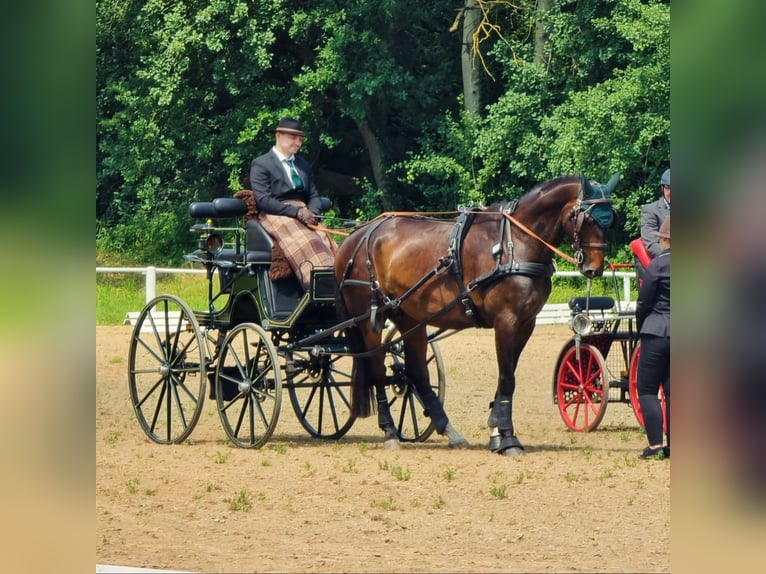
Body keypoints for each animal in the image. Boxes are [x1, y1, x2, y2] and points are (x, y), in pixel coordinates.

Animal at [334, 173, 616, 456]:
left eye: (611, 217)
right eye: (586, 217)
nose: (594, 268)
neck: (515, 243)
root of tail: (356, 236)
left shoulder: (526, 323)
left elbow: (507, 377)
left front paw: (496, 432)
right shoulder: (506, 321)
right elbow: (507, 377)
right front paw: (508, 438)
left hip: (409, 317)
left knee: (416, 372)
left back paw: (449, 431)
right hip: (369, 320)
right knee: (377, 371)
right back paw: (390, 432)